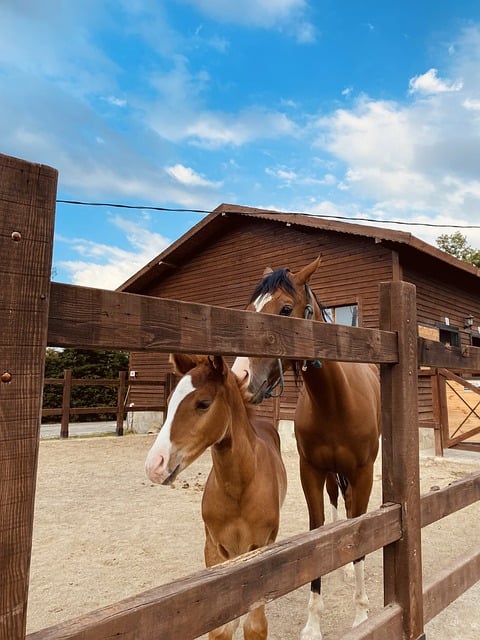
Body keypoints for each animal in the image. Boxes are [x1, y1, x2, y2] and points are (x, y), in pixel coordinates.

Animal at [145, 353, 287, 640]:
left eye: (203, 403)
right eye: (170, 400)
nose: (154, 465)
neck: (239, 488)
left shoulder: (261, 546)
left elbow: (255, 626)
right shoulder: (214, 546)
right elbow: (222, 626)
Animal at [232, 257, 381, 640]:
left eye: (285, 309)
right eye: (248, 311)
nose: (239, 378)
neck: (336, 402)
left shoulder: (363, 472)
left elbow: (359, 528)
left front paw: (361, 614)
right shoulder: (310, 472)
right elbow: (317, 529)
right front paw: (313, 623)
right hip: (331, 475)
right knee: (337, 506)